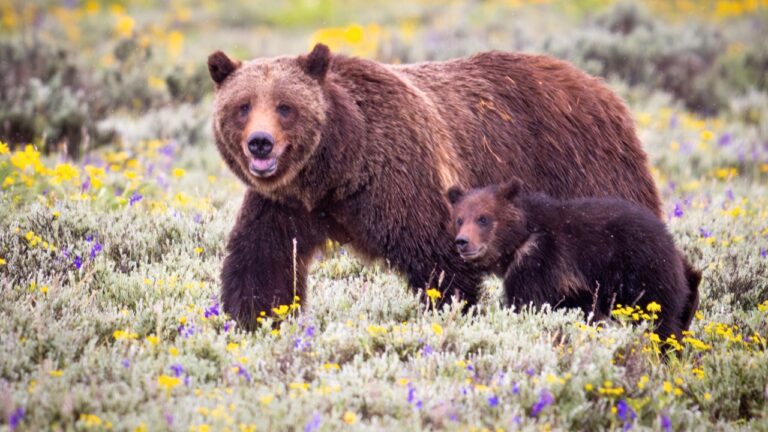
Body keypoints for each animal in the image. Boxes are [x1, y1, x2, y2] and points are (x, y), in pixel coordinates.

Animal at [207, 43, 663, 329]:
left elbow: (441, 264)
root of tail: (603, 87)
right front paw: (254, 319)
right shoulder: (284, 204)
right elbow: (262, 264)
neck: (337, 170)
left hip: (587, 173)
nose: (260, 142)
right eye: (242, 106)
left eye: (285, 107)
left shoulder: (406, 181)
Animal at [446, 179, 701, 341]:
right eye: (459, 219)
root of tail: (670, 242)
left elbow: (528, 303)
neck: (522, 236)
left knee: (661, 321)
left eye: (483, 218)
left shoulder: (541, 261)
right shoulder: (571, 287)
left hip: (645, 274)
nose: (462, 242)